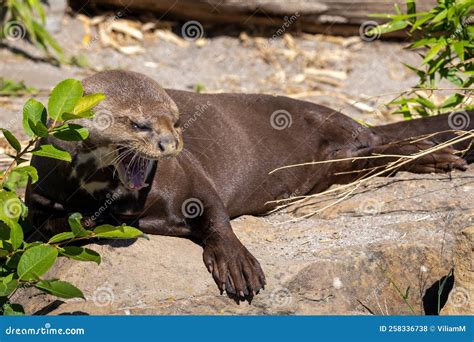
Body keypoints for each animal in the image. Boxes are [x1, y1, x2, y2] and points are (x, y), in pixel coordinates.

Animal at [26, 70, 474, 302]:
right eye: (138, 124)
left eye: (175, 118)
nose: (171, 144)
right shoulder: (39, 194)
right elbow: (47, 224)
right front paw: (82, 220)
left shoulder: (191, 176)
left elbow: (215, 212)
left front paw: (237, 263)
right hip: (336, 165)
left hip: (338, 136)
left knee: (378, 146)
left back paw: (434, 156)